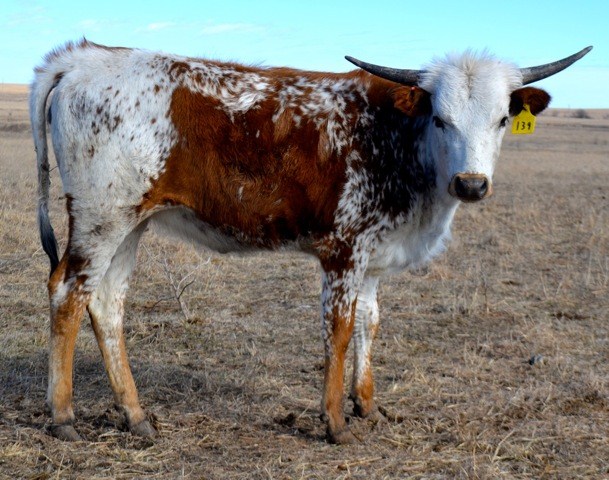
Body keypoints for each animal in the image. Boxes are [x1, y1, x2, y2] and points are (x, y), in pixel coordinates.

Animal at [30, 39, 591, 443]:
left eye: (502, 119)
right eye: (440, 118)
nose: (471, 184)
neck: (397, 139)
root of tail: (83, 58)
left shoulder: (373, 255)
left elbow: (369, 323)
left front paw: (367, 406)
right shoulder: (342, 251)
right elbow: (338, 331)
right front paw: (335, 423)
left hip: (132, 222)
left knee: (106, 303)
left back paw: (135, 415)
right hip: (101, 217)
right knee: (67, 294)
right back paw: (63, 417)